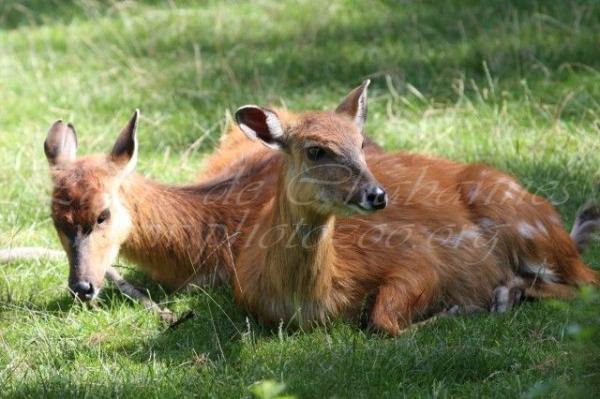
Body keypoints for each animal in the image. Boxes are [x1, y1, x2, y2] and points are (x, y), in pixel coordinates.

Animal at [232, 79, 596, 336]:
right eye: (315, 151)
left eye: (361, 143)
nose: (377, 195)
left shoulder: (416, 253)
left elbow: (383, 323)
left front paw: (458, 310)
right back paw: (508, 294)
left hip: (520, 219)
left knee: (589, 281)